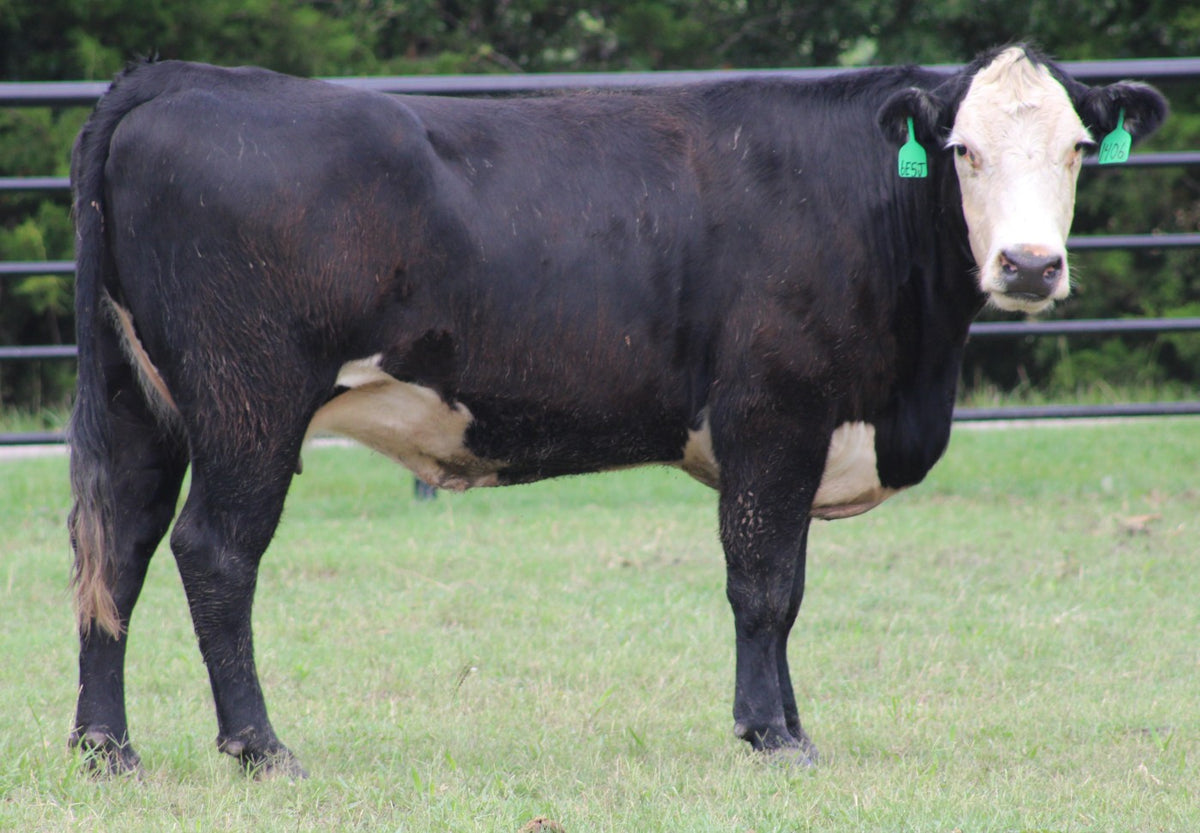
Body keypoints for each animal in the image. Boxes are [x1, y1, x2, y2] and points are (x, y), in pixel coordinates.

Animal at [66, 45, 1166, 777]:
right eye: (961, 149)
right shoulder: (773, 411)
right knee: (213, 550)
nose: (1029, 264)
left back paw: (106, 745)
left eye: (1077, 146)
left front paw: (784, 723)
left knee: (115, 544)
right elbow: (764, 584)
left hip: (138, 400)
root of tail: (181, 78)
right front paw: (772, 735)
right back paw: (259, 746)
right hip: (249, 396)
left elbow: (785, 589)